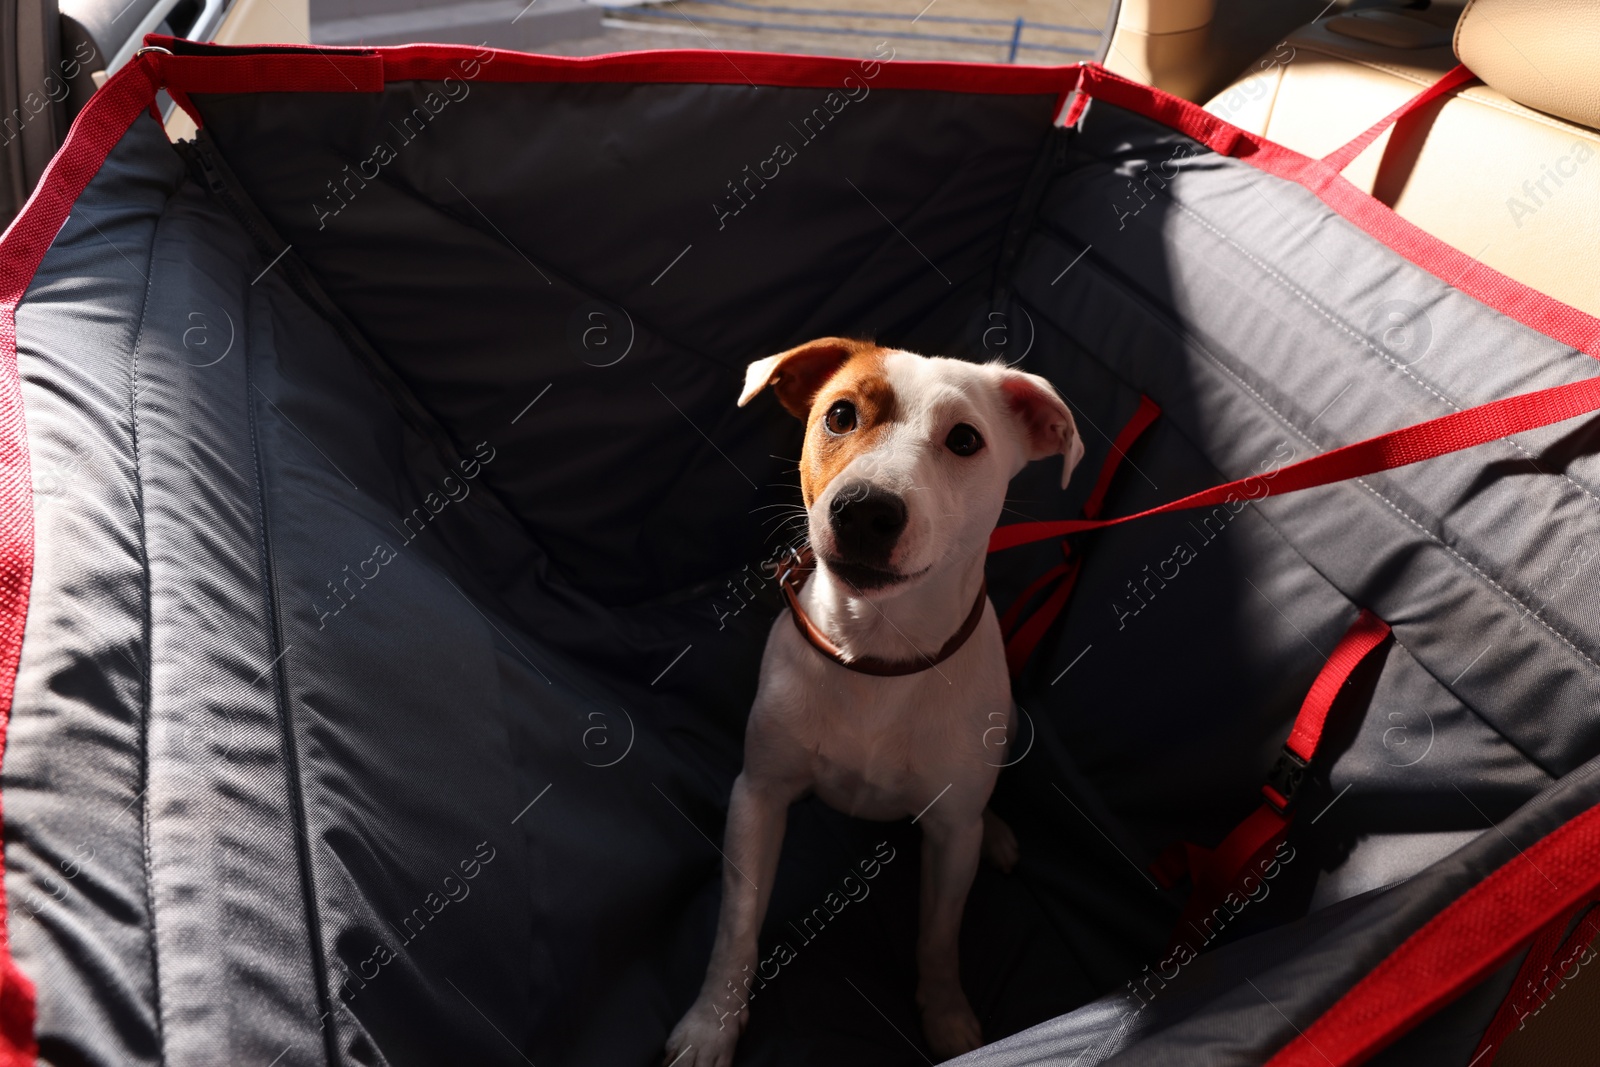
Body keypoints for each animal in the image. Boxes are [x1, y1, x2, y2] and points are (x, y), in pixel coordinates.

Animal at [662, 337, 1088, 1062]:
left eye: (965, 439)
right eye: (840, 415)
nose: (865, 509)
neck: (876, 651)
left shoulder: (948, 837)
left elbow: (939, 936)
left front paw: (946, 1015)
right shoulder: (758, 796)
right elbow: (736, 925)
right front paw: (710, 1023)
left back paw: (997, 833)